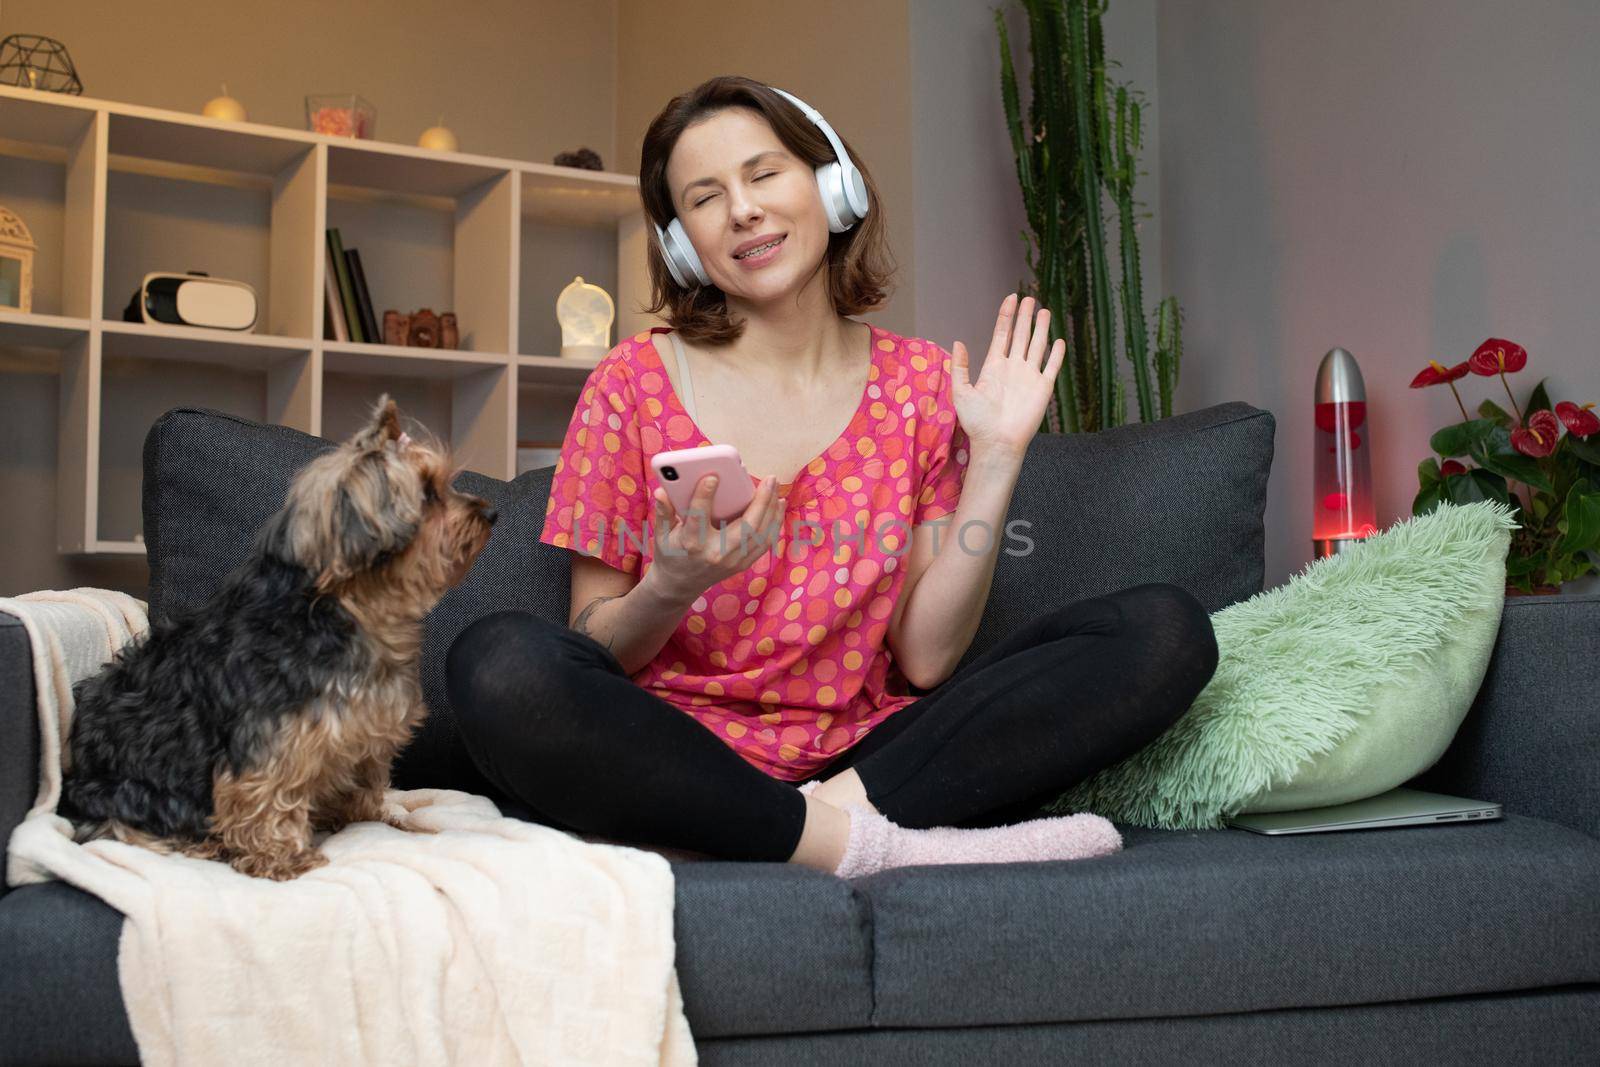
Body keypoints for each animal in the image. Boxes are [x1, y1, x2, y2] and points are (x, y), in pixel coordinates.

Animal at [58, 396, 492, 883]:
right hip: (145, 791)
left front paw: (370, 819)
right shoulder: (271, 742)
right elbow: (265, 795)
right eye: (429, 493)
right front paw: (281, 858)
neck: (351, 607)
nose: (490, 513)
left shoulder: (361, 736)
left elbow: (360, 788)